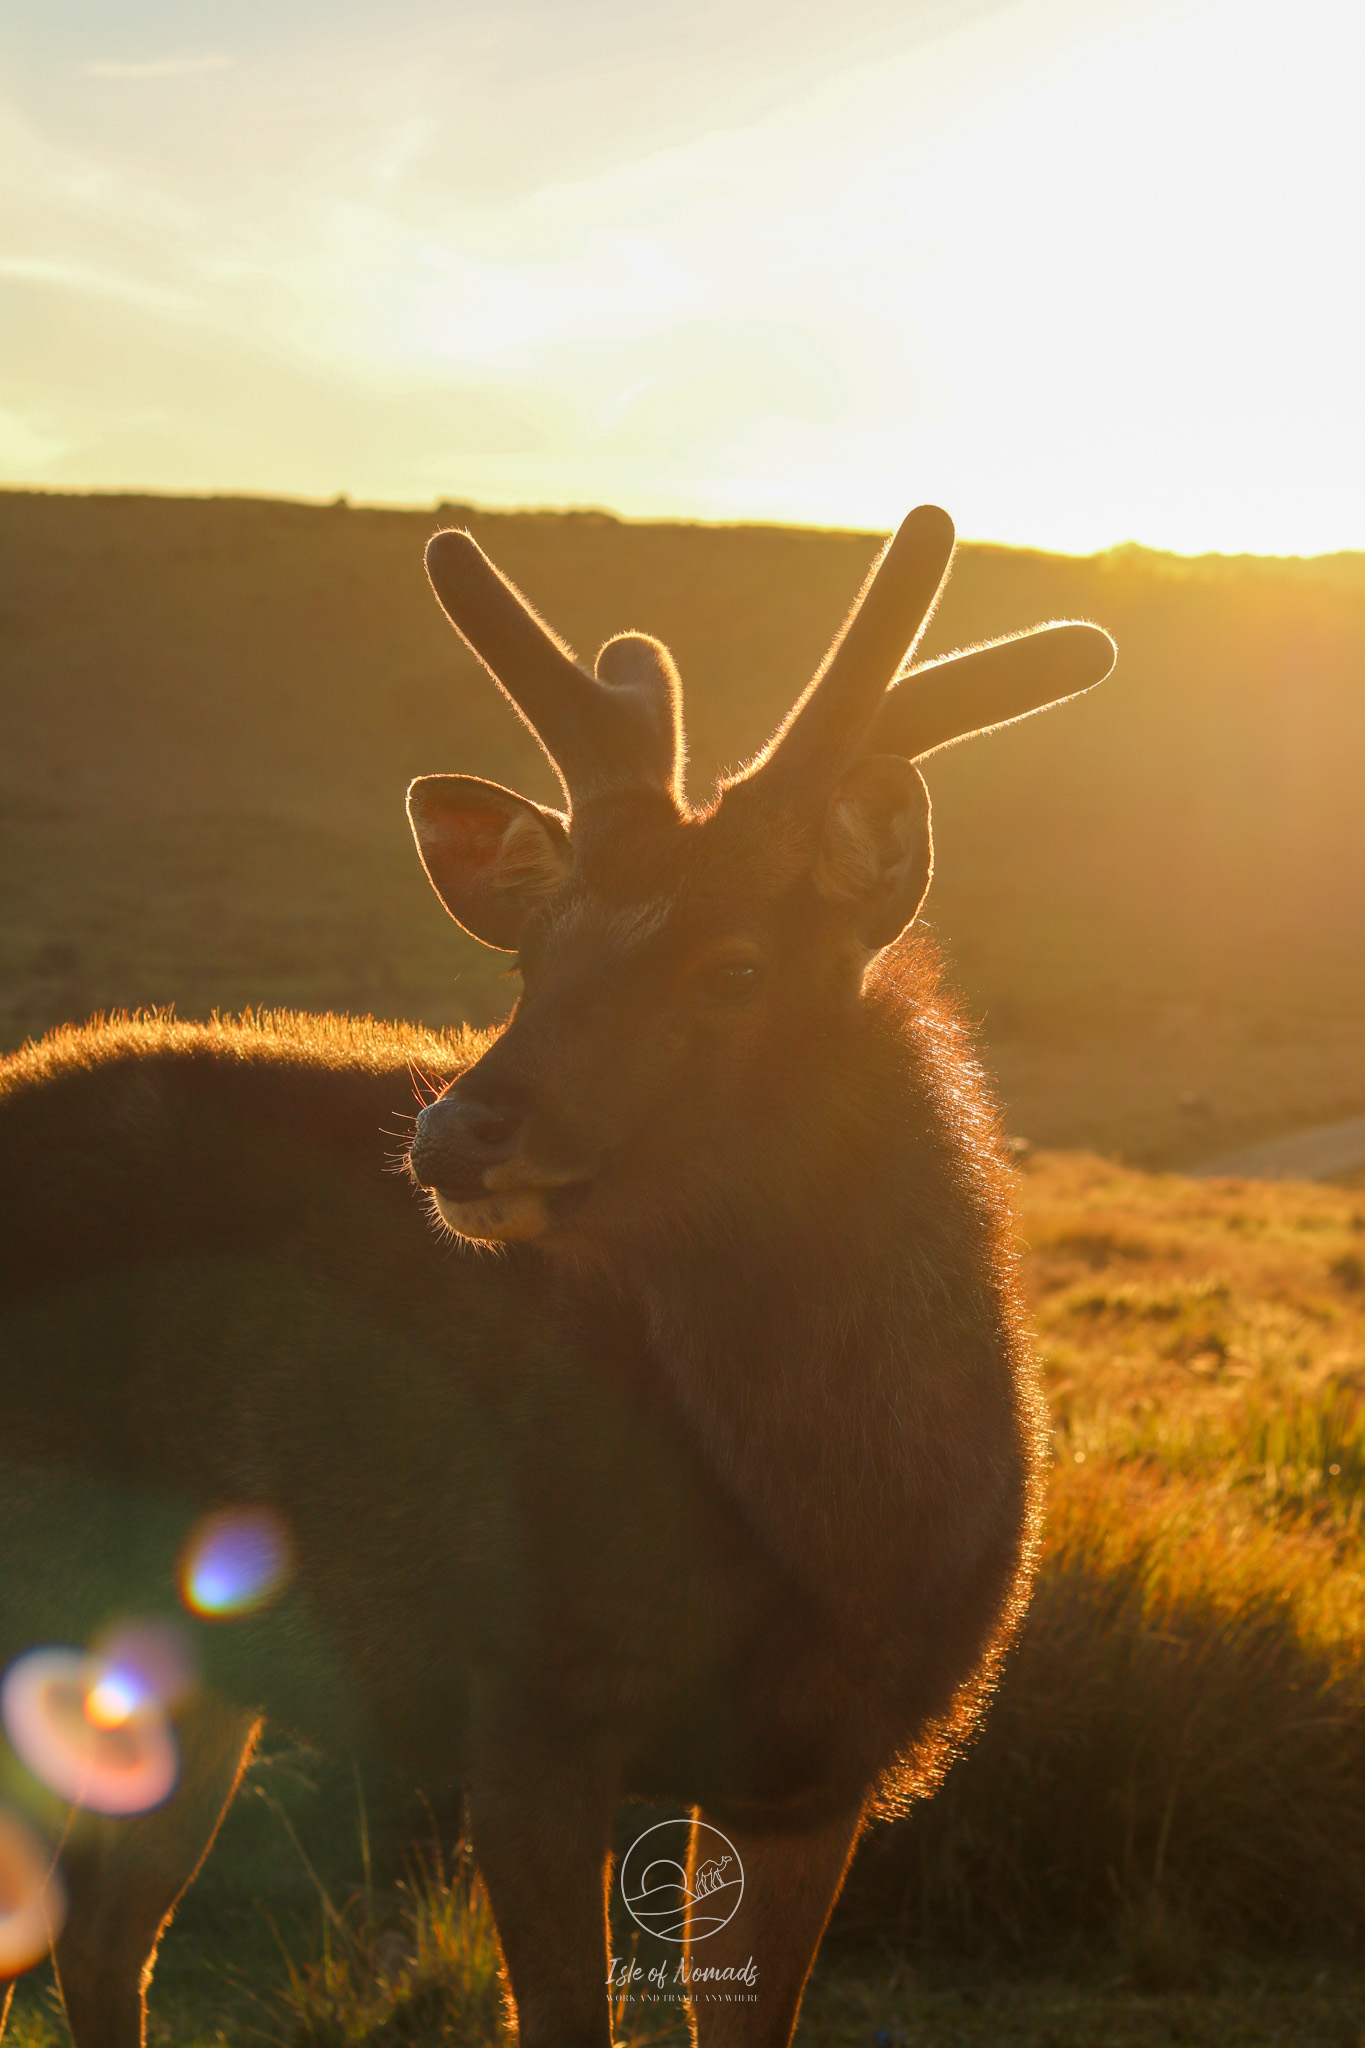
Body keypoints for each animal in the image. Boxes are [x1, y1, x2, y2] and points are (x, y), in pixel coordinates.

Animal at [0, 499, 1113, 2048]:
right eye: (533, 955)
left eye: (735, 967)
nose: (455, 1133)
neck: (835, 1544)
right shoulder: (521, 1698)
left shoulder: (824, 1768)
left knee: (102, 1938)